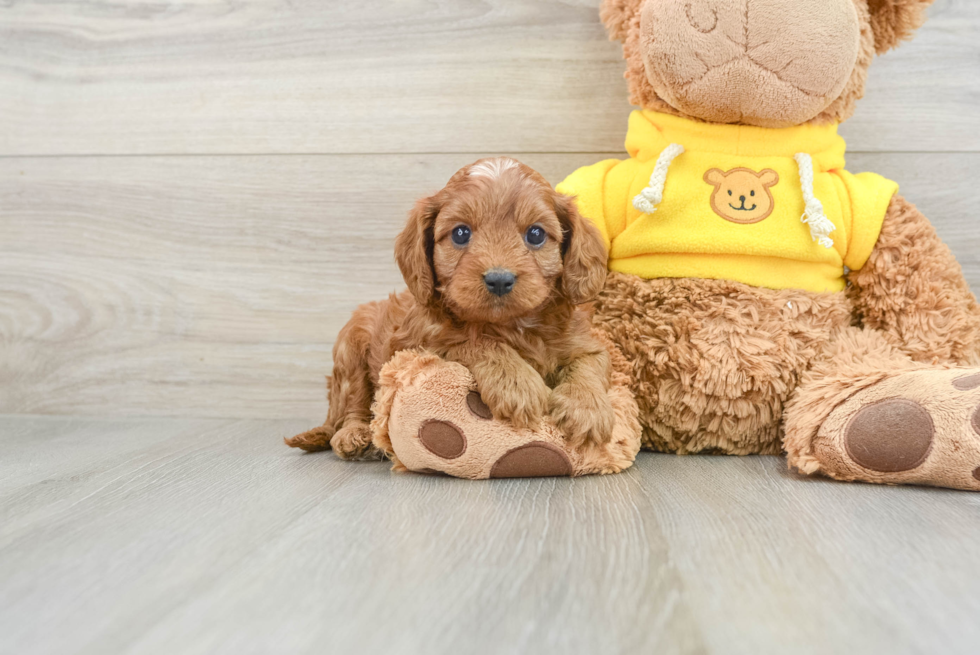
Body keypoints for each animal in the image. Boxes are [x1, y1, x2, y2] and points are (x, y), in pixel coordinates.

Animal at [288, 156, 616, 458]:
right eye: (460, 233)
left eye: (535, 234)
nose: (499, 279)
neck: (511, 325)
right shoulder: (421, 345)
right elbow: (473, 341)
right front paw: (516, 383)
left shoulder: (587, 343)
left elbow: (589, 364)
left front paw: (587, 409)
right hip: (351, 344)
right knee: (351, 404)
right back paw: (354, 436)